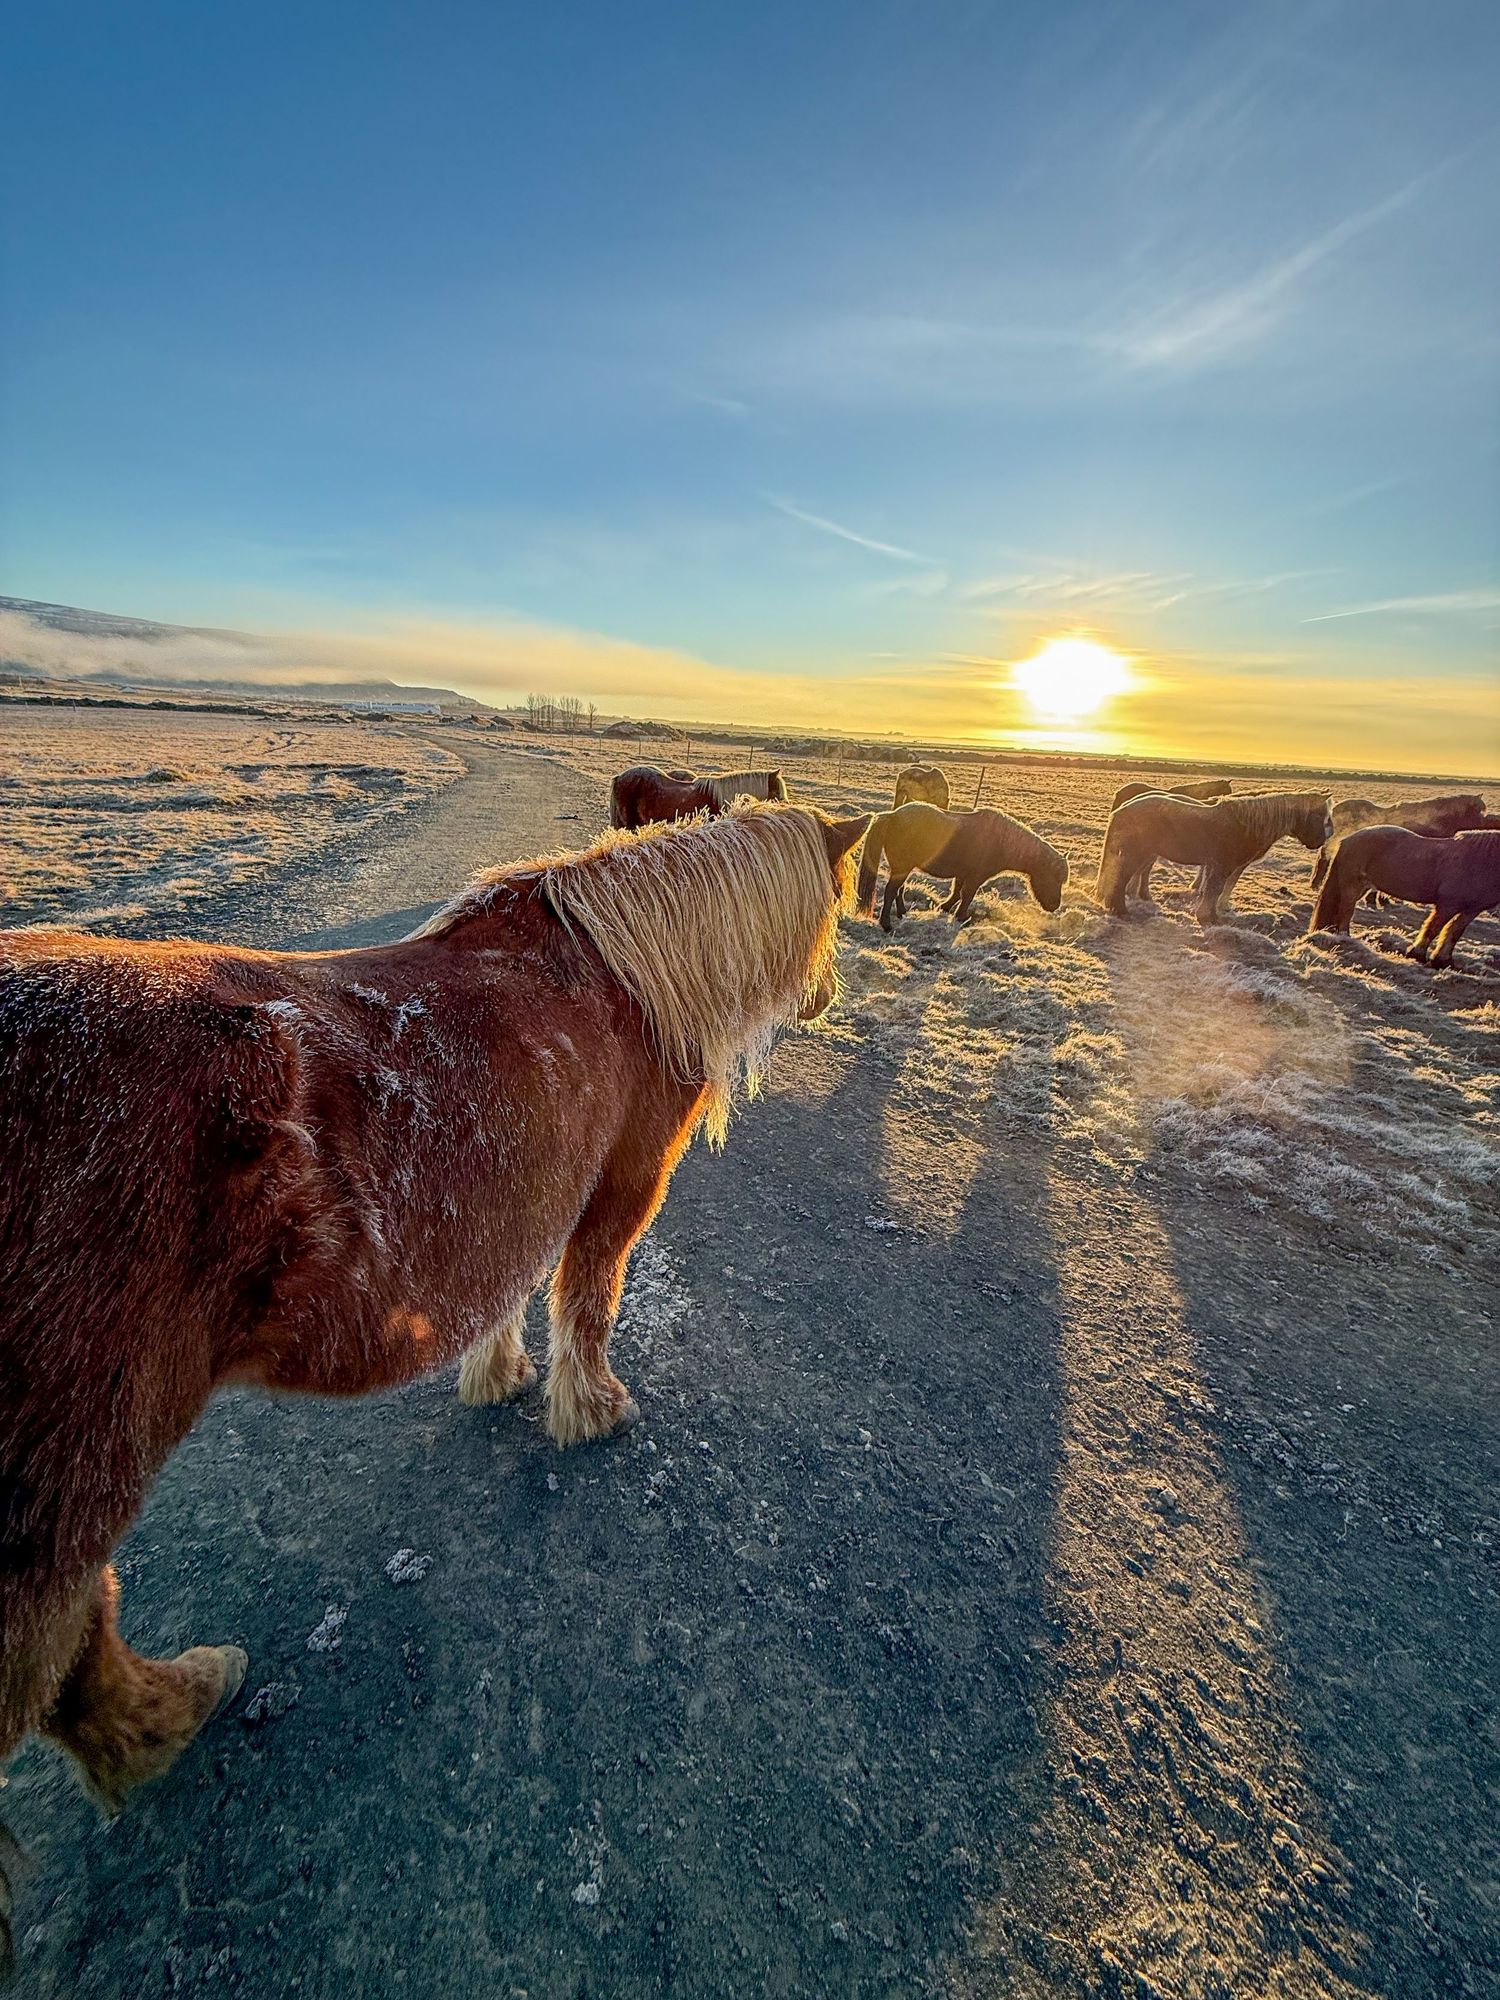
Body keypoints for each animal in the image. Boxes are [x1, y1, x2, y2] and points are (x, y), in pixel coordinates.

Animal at [0, 801, 868, 1969]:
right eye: (840, 901)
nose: (825, 997)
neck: (625, 973)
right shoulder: (622, 1183)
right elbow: (589, 1295)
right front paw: (589, 1407)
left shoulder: (521, 1194)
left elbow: (510, 1288)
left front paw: (498, 1375)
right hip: (78, 1462)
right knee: (72, 1642)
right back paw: (181, 1706)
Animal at [855, 801, 1068, 932]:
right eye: (1053, 877)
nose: (1054, 906)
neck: (1001, 841)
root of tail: (892, 815)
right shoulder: (976, 877)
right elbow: (967, 895)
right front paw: (961, 917)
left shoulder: (963, 874)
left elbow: (956, 892)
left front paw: (944, 908)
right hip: (903, 868)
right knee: (891, 890)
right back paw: (886, 924)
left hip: (904, 868)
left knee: (899, 889)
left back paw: (902, 913)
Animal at [1097, 790, 1330, 926]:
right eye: (1320, 815)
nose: (1320, 842)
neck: (1247, 824)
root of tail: (1121, 810)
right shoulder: (1223, 865)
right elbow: (1215, 890)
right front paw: (1209, 918)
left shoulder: (1219, 866)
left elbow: (1213, 889)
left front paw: (1208, 914)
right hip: (1134, 855)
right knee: (1120, 880)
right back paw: (1120, 911)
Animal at [1311, 825, 1500, 966]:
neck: (1480, 861)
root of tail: (1347, 840)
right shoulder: (1447, 905)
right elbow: (1433, 928)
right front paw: (1417, 954)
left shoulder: (1470, 910)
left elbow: (1454, 933)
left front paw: (1442, 961)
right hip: (1352, 887)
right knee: (1346, 911)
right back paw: (1345, 937)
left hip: (1361, 888)